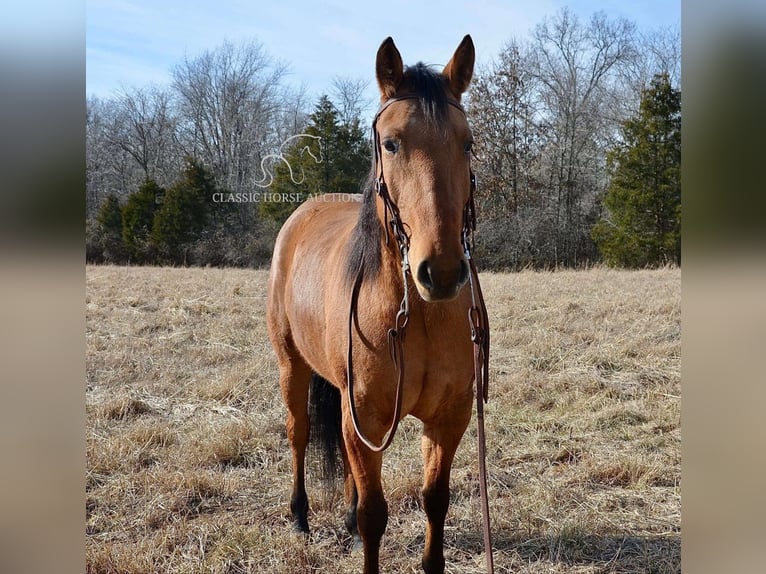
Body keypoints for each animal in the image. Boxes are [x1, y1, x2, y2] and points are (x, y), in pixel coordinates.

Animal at [268, 36, 492, 574]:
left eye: (467, 143)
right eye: (391, 143)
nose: (442, 271)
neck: (418, 316)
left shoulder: (448, 418)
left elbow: (435, 499)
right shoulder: (365, 418)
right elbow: (375, 514)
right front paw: (357, 526)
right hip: (291, 366)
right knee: (299, 434)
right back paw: (300, 517)